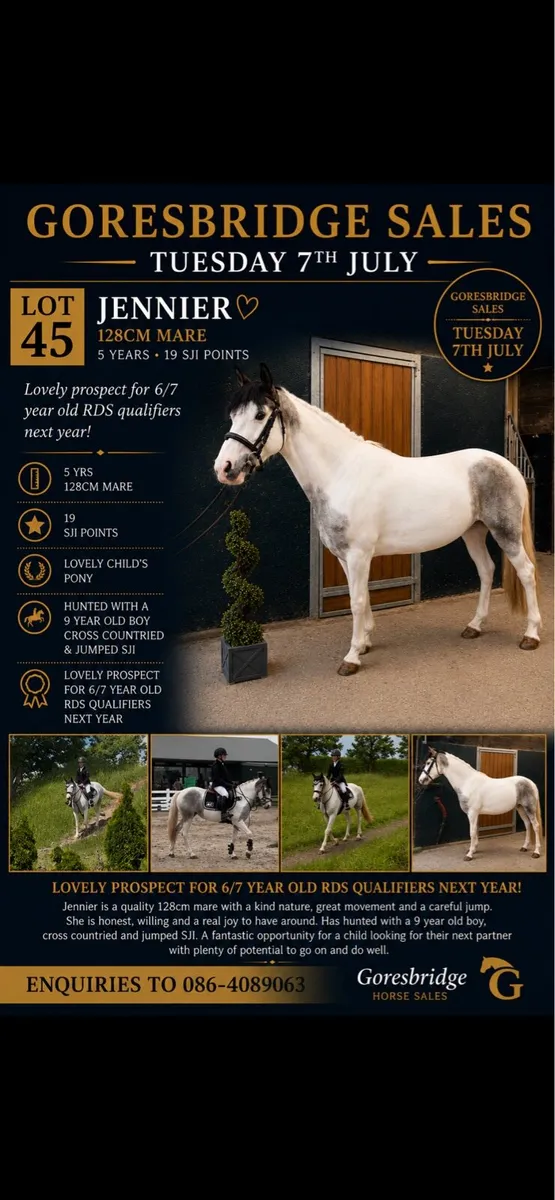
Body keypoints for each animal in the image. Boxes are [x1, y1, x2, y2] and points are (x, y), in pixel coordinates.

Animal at [213, 364, 541, 677]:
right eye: (231, 415)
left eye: (260, 414)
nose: (224, 468)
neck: (341, 473)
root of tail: (507, 465)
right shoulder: (345, 557)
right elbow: (359, 597)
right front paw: (365, 643)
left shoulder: (359, 554)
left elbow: (357, 602)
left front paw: (351, 658)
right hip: (473, 532)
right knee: (486, 571)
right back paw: (474, 626)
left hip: (505, 532)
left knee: (526, 572)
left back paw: (531, 635)